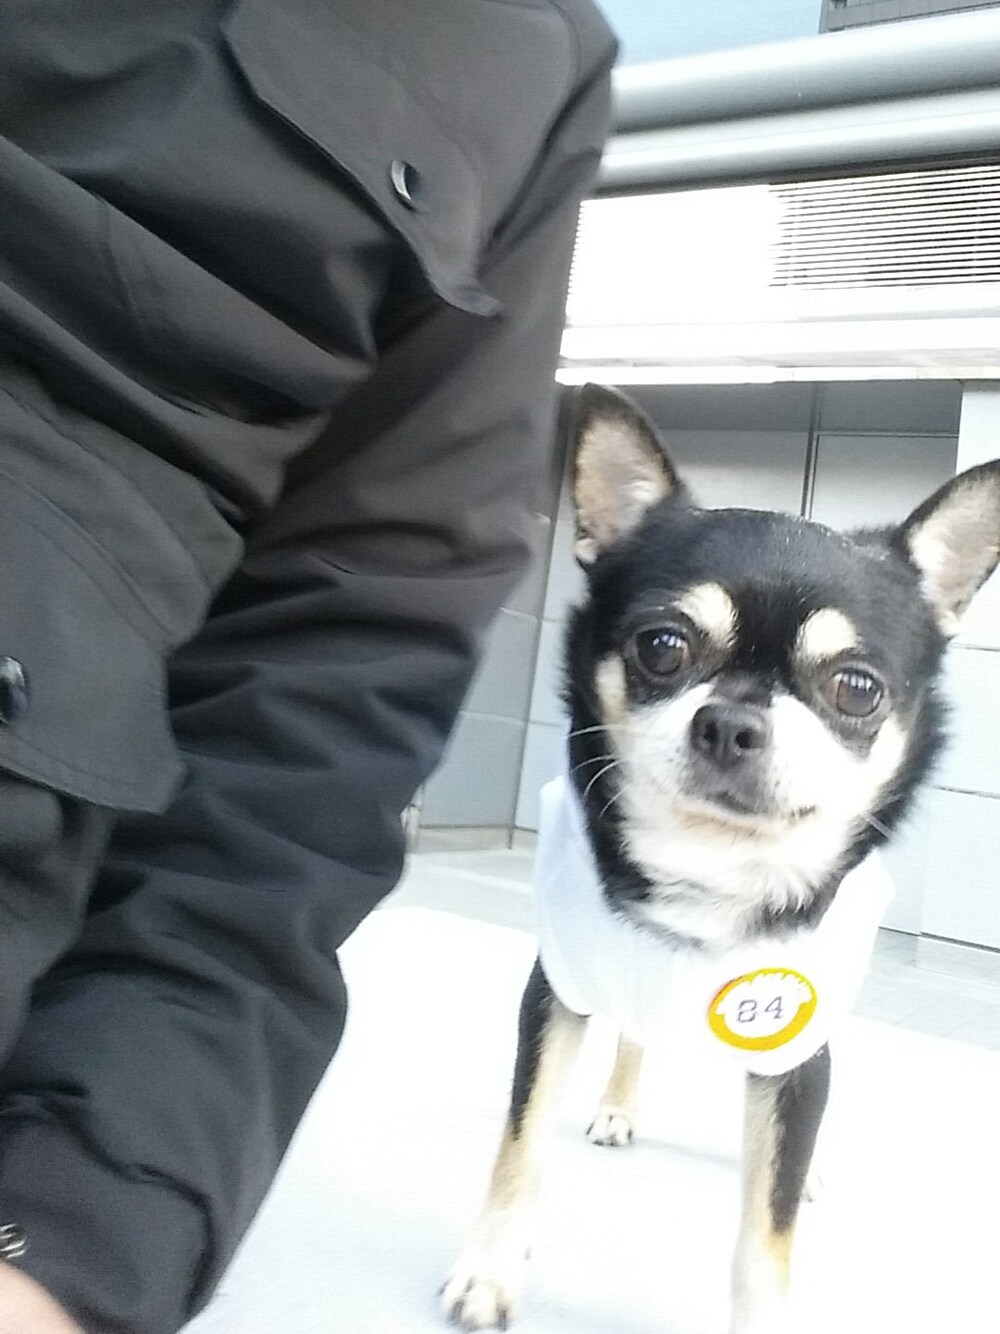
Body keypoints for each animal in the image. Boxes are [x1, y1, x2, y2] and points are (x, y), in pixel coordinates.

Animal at [442, 383, 1000, 1334]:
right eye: (662, 647)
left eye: (856, 689)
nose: (732, 722)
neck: (711, 872)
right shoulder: (555, 998)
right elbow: (521, 1145)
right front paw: (491, 1272)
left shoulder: (795, 1047)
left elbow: (765, 1225)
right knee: (635, 1036)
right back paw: (618, 1105)